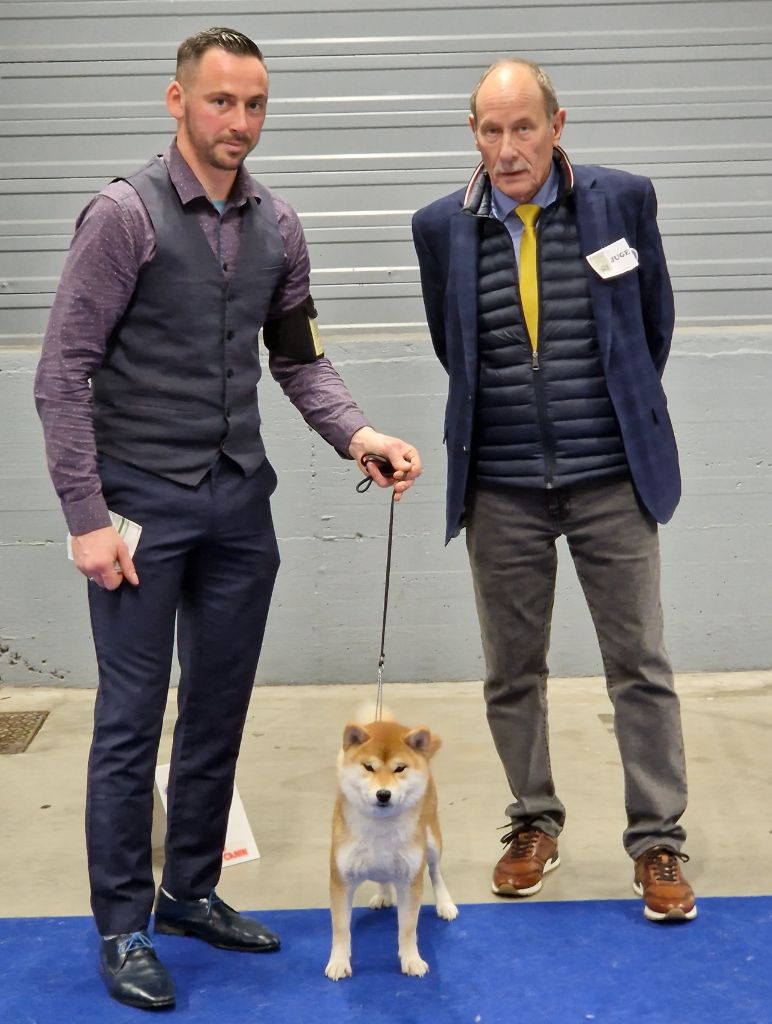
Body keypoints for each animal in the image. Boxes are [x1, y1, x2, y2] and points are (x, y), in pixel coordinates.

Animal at [321, 716, 454, 978]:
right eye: (368, 767)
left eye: (399, 768)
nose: (383, 794)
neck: (380, 827)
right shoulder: (341, 881)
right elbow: (340, 929)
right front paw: (339, 962)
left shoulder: (411, 881)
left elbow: (408, 928)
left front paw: (411, 960)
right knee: (384, 876)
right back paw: (383, 895)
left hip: (431, 841)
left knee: (435, 872)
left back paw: (445, 904)